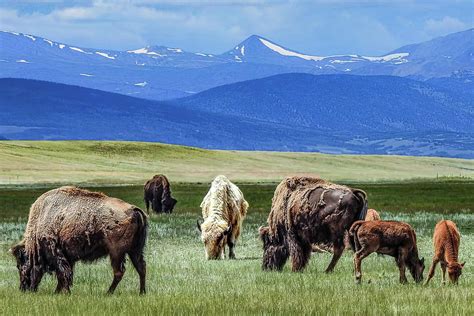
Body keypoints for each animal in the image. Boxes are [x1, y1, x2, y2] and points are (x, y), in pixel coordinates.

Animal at [9, 186, 146, 296]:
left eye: (19, 265)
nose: (23, 288)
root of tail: (133, 209)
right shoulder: (68, 256)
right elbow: (66, 274)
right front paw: (59, 292)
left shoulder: (56, 253)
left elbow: (63, 273)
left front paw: (63, 292)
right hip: (135, 250)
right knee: (141, 267)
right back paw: (142, 292)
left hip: (117, 252)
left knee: (119, 272)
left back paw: (108, 293)